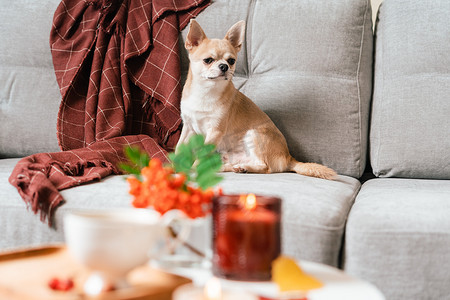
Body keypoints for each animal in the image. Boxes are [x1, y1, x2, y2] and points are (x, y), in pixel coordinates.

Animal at [178, 20, 336, 180]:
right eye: (208, 60)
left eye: (231, 61)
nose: (224, 66)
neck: (205, 92)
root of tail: (289, 158)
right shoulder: (188, 128)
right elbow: (179, 148)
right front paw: (175, 165)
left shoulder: (215, 131)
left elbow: (200, 155)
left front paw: (193, 169)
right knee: (232, 164)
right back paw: (233, 167)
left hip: (254, 134)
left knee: (265, 167)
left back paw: (244, 168)